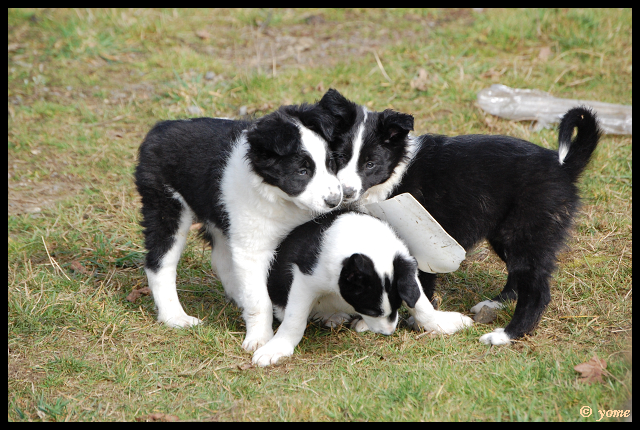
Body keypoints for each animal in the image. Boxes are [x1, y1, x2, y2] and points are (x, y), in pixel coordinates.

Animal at [136, 102, 344, 352]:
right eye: (302, 172)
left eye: (330, 164)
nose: (335, 201)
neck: (279, 197)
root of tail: (159, 128)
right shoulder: (252, 249)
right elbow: (259, 299)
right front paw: (259, 338)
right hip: (168, 206)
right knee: (159, 262)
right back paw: (175, 317)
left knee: (221, 259)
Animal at [252, 210, 472, 368]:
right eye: (370, 310)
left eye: (397, 306)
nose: (388, 333)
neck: (364, 239)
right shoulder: (304, 279)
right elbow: (294, 319)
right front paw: (278, 347)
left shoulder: (406, 268)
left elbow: (420, 303)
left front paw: (441, 322)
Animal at [322, 90, 604, 346]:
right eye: (339, 158)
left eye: (370, 164)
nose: (345, 193)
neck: (395, 173)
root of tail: (564, 167)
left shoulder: (424, 238)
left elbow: (418, 287)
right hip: (506, 235)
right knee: (517, 277)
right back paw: (495, 304)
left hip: (527, 233)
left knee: (537, 292)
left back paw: (505, 335)